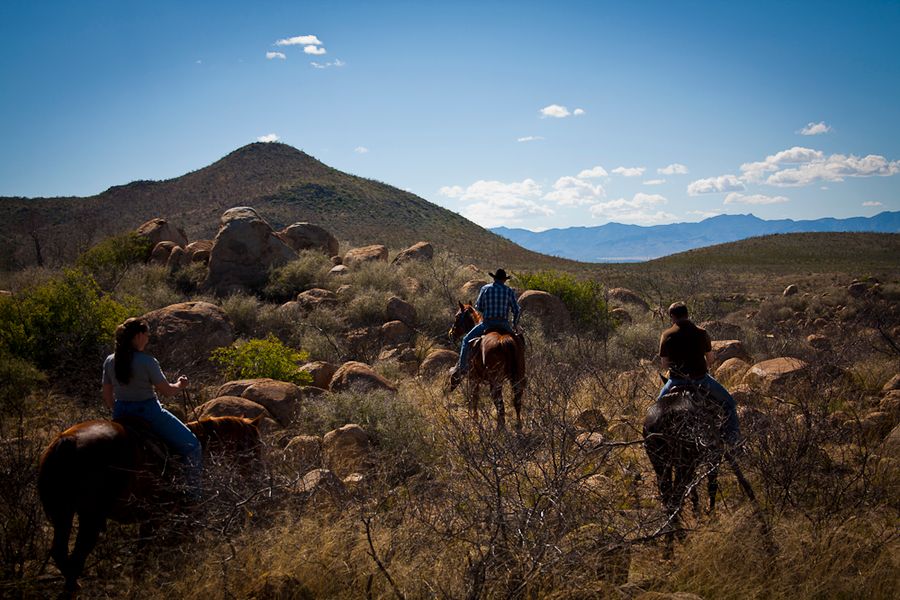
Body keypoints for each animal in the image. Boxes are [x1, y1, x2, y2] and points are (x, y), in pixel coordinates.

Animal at [39, 414, 264, 592]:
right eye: (255, 446)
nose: (258, 477)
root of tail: (68, 441)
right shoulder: (161, 519)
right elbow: (148, 558)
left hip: (64, 513)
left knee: (61, 553)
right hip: (90, 517)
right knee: (77, 557)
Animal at [644, 382, 756, 556]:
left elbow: (693, 491)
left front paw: (698, 515)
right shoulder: (714, 456)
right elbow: (712, 485)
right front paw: (711, 516)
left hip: (662, 465)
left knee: (668, 499)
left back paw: (670, 547)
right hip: (685, 461)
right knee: (675, 499)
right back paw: (682, 540)